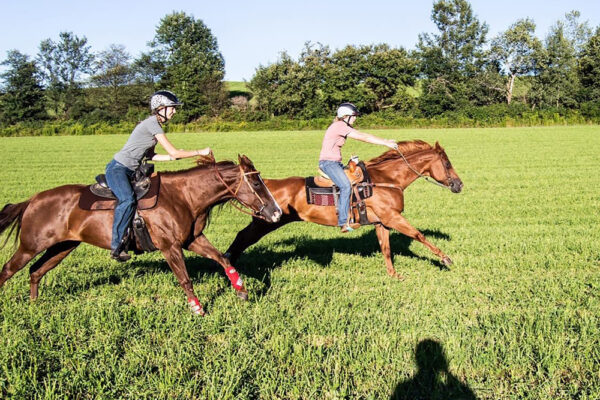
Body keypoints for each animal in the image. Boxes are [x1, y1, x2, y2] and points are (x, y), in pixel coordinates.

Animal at [0, 155, 282, 314]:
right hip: (30, 246)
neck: (183, 196)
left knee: (35, 272)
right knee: (8, 270)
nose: (277, 212)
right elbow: (184, 278)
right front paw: (197, 308)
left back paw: (35, 305)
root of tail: (32, 200)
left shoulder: (192, 240)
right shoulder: (170, 246)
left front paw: (241, 290)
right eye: (256, 183)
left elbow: (223, 259)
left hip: (62, 247)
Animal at [225, 141, 464, 278]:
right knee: (242, 238)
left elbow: (386, 249)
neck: (386, 179)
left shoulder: (382, 223)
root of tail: (265, 184)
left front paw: (393, 275)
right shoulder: (393, 218)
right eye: (447, 163)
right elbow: (418, 235)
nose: (459, 184)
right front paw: (445, 259)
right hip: (265, 222)